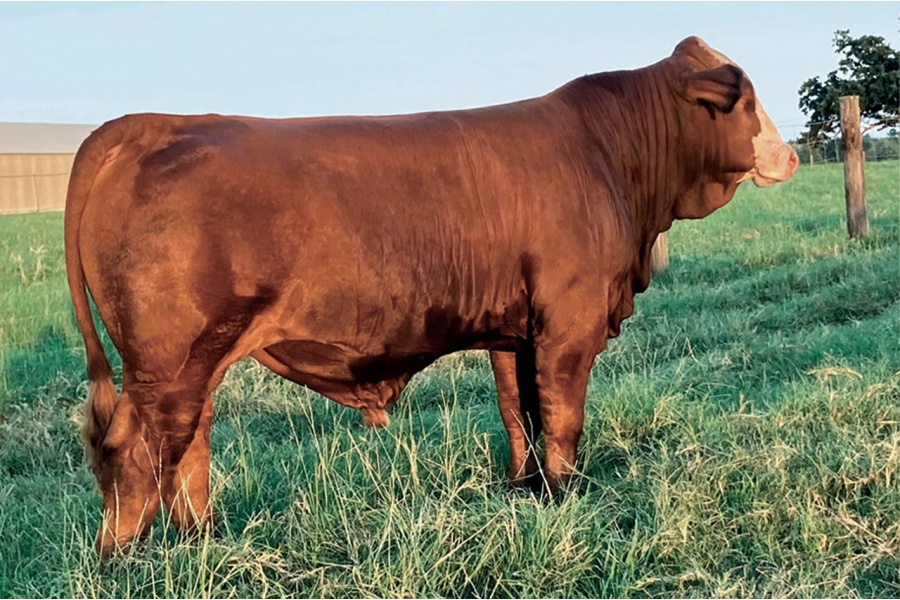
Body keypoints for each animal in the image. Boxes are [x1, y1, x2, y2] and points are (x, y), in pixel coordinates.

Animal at [65, 36, 798, 556]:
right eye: (745, 99)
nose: (790, 157)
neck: (613, 156)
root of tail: (150, 123)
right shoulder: (569, 324)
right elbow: (562, 419)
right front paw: (567, 495)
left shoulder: (515, 330)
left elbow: (518, 415)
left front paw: (526, 491)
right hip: (168, 361)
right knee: (136, 449)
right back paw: (137, 559)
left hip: (193, 363)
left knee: (185, 444)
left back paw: (200, 542)